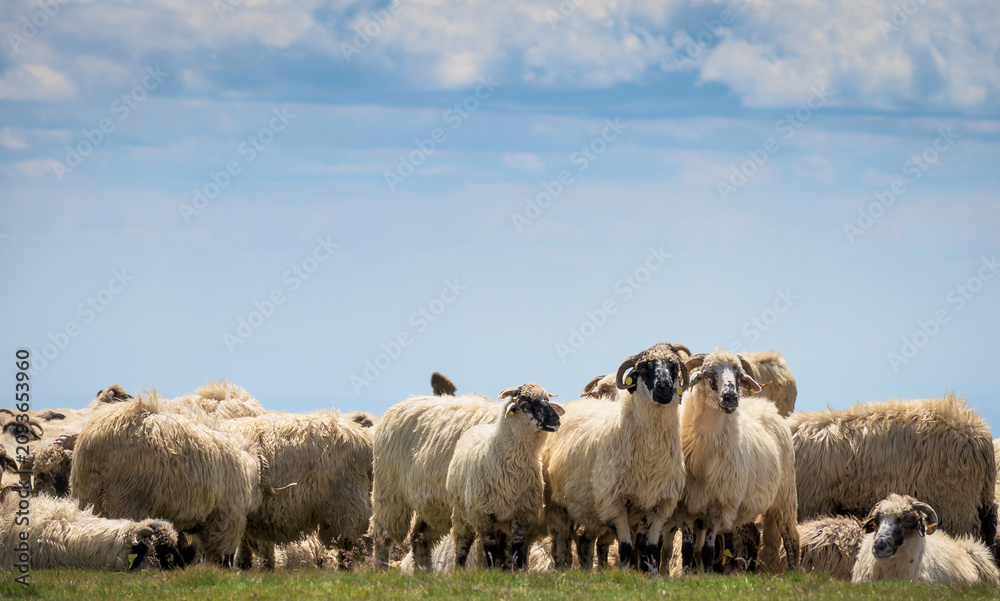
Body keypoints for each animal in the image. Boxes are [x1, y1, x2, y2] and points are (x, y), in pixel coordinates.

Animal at [70, 391, 293, 566]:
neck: (247, 467)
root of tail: (97, 440)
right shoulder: (226, 517)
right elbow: (219, 554)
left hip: (89, 498)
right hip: (126, 500)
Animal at [371, 392, 501, 569]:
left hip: (435, 506)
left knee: (419, 537)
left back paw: (424, 572)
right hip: (389, 491)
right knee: (382, 535)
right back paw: (381, 569)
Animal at [447, 383, 563, 570]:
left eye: (547, 399)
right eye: (526, 403)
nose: (556, 420)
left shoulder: (522, 514)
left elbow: (517, 548)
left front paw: (517, 571)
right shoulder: (482, 513)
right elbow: (489, 547)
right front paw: (489, 571)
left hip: (504, 520)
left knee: (507, 546)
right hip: (461, 513)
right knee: (463, 542)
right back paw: (458, 569)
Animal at [542, 343, 690, 573]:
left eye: (674, 367)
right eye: (643, 368)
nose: (664, 388)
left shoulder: (660, 504)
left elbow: (650, 549)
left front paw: (652, 574)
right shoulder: (614, 502)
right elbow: (626, 547)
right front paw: (625, 574)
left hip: (590, 512)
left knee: (585, 540)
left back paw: (587, 571)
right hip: (558, 505)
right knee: (561, 539)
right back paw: (562, 568)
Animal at [678, 348, 799, 574]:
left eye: (739, 375)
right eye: (706, 373)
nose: (731, 398)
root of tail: (767, 406)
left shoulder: (719, 505)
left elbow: (708, 550)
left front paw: (707, 575)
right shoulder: (687, 505)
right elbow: (689, 549)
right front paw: (689, 575)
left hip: (785, 495)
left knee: (792, 539)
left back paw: (794, 573)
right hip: (745, 506)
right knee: (752, 536)